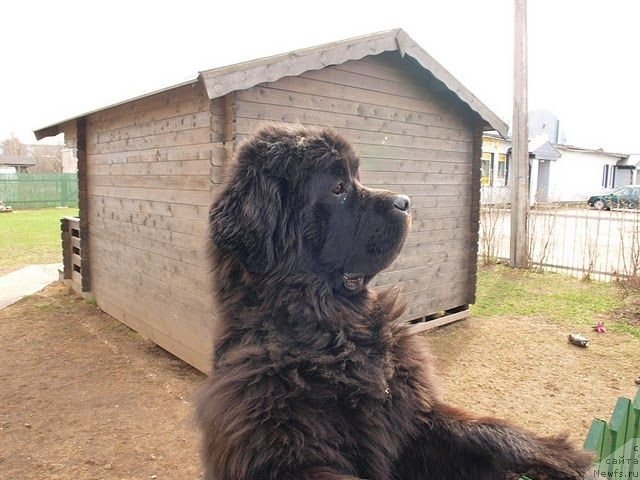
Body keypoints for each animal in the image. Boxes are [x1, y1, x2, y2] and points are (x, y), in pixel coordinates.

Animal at [198, 124, 592, 480]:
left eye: (356, 177)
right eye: (338, 188)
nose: (405, 201)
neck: (337, 333)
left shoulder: (413, 418)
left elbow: (488, 432)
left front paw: (560, 458)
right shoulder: (284, 455)